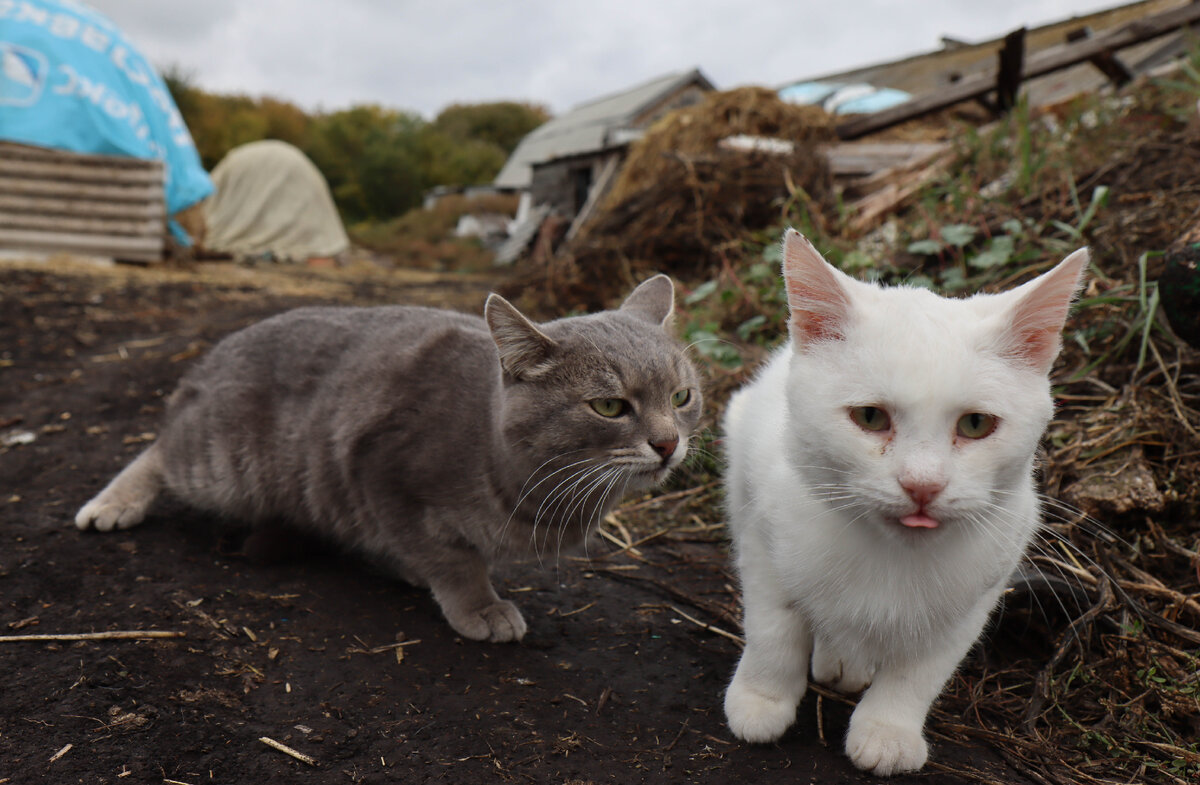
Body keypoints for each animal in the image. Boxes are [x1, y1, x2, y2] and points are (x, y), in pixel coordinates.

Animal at [77, 279, 700, 643]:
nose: (668, 443)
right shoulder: (383, 473)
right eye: (610, 406)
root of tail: (209, 356)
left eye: (681, 397)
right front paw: (479, 605)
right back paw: (113, 503)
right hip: (222, 468)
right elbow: (451, 560)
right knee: (159, 448)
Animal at [720, 230, 1089, 777]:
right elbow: (774, 629)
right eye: (870, 417)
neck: (892, 556)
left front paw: (887, 731)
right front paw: (761, 701)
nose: (922, 484)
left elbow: (919, 671)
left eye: (976, 424)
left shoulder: (977, 593)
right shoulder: (763, 541)